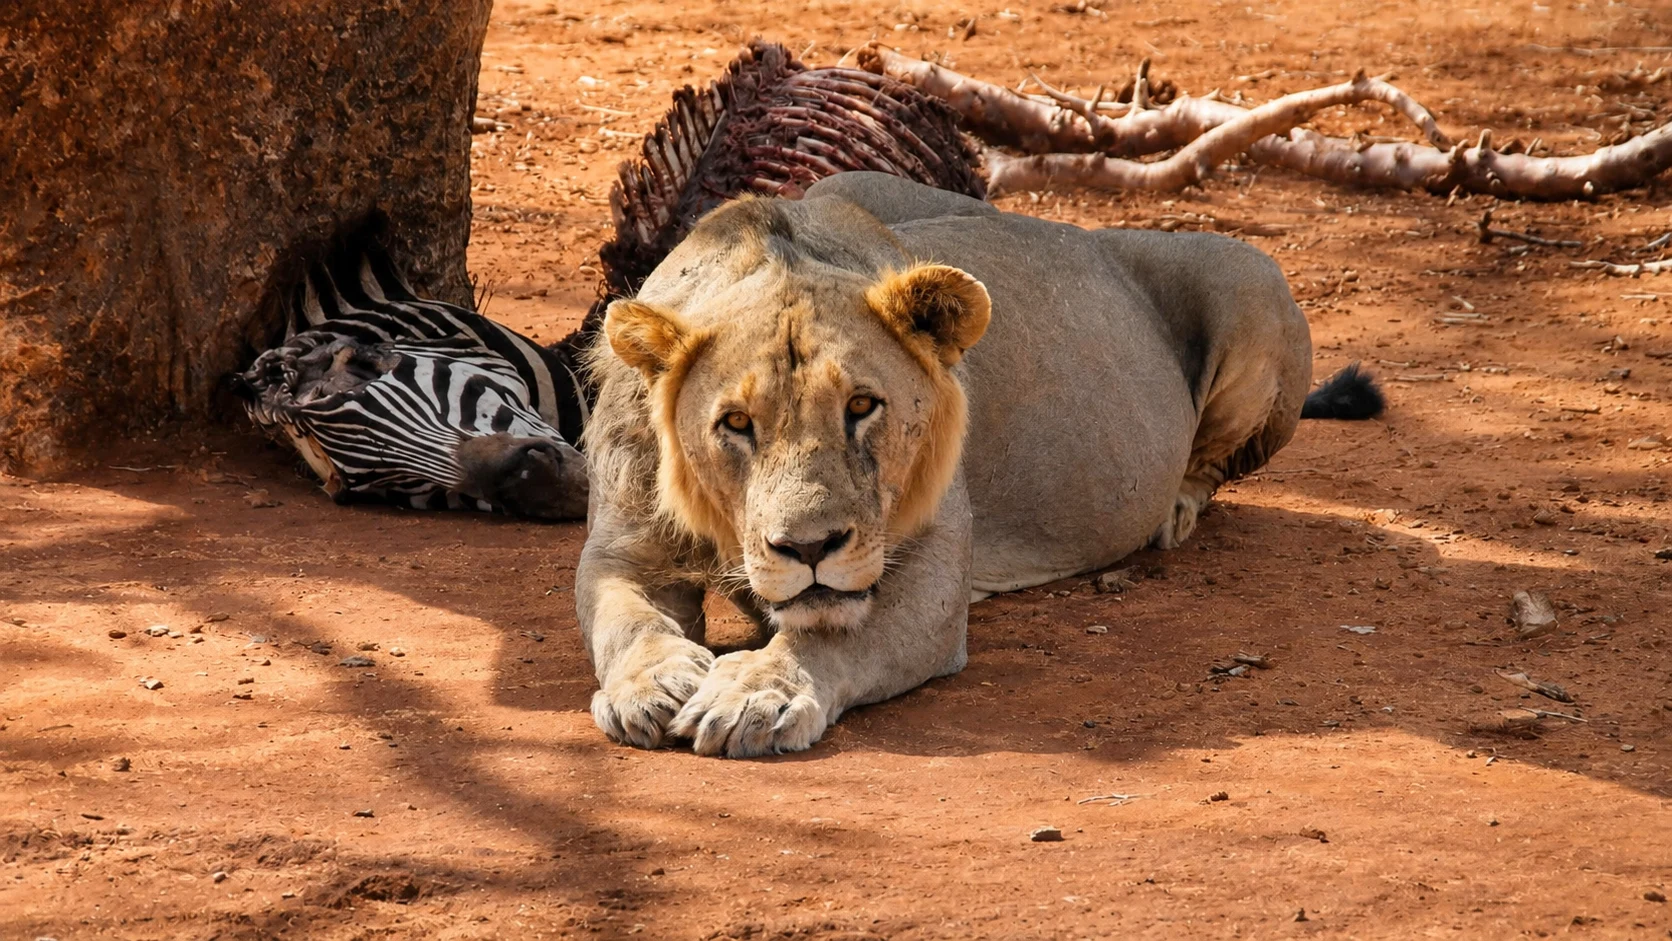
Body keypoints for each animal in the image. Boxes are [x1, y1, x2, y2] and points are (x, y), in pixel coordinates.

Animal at [577, 172, 1380, 757]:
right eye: (736, 424)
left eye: (862, 405)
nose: (809, 548)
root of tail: (1089, 235)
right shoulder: (620, 549)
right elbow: (622, 617)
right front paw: (653, 684)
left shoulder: (931, 572)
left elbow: (833, 634)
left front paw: (758, 692)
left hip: (1250, 274)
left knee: (1213, 463)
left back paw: (1174, 511)